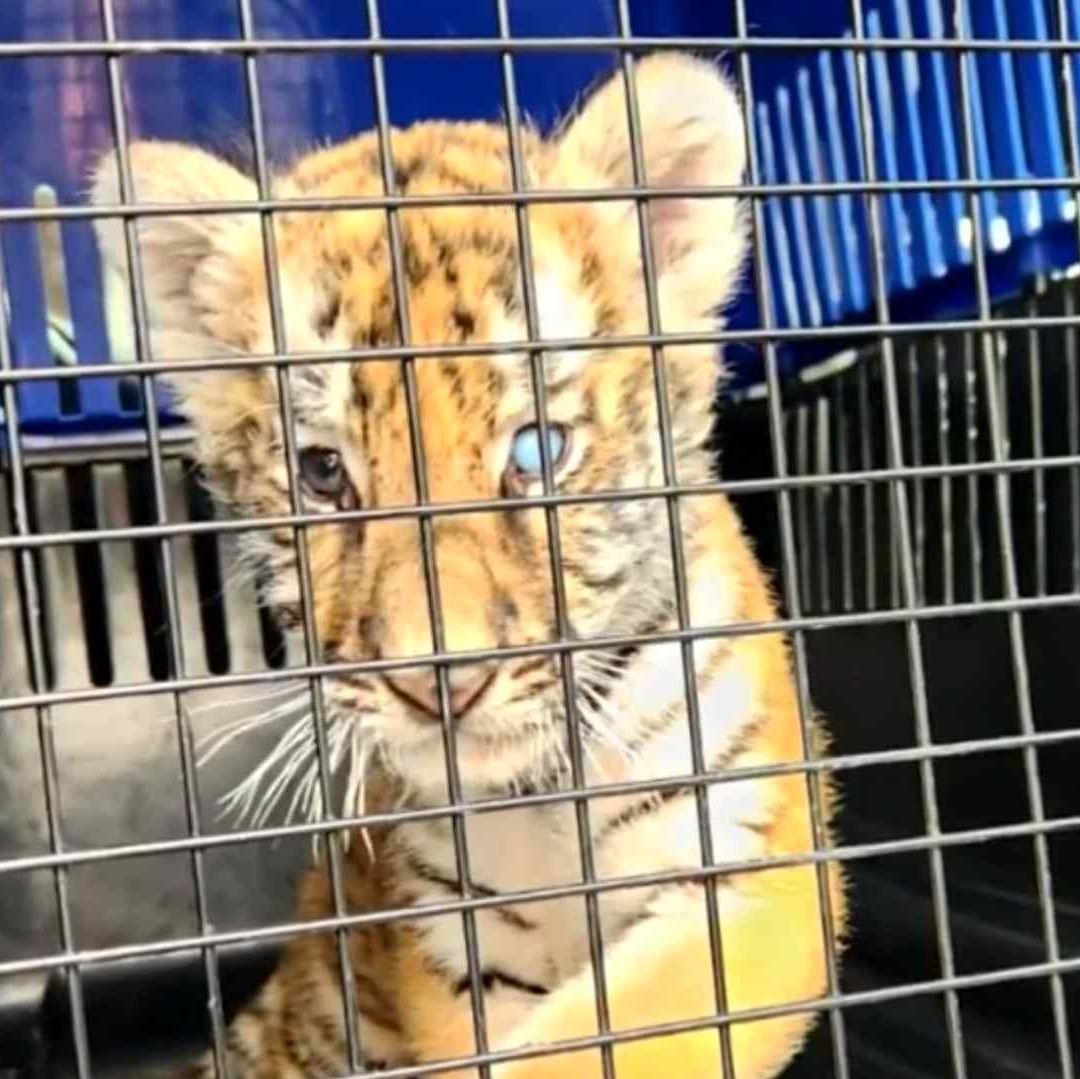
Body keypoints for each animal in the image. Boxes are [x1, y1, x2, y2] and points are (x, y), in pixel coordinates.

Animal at [90, 52, 846, 1079]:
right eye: (323, 471)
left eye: (535, 450)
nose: (435, 683)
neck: (540, 800)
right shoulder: (449, 940)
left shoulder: (754, 877)